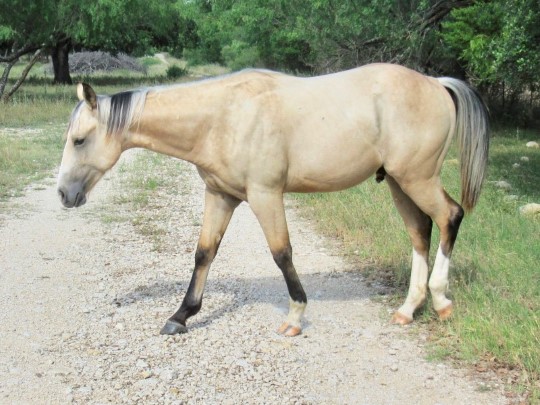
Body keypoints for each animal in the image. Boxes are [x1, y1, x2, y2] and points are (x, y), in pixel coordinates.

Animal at [58, 62, 490, 334]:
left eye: (79, 140)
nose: (64, 194)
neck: (222, 116)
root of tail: (436, 83)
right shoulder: (220, 195)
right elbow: (204, 253)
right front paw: (181, 316)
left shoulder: (265, 195)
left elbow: (282, 253)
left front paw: (295, 316)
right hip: (401, 182)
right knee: (420, 231)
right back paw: (407, 309)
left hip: (418, 178)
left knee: (450, 216)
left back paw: (441, 301)